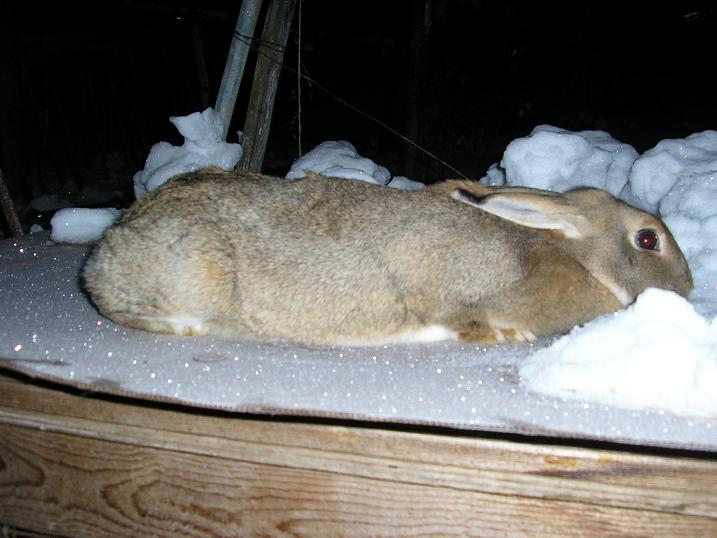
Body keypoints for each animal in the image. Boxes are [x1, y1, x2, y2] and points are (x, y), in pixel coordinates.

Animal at [82, 168, 693, 345]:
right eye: (648, 240)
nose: (688, 289)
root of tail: (102, 252)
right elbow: (462, 316)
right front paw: (504, 335)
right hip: (194, 274)